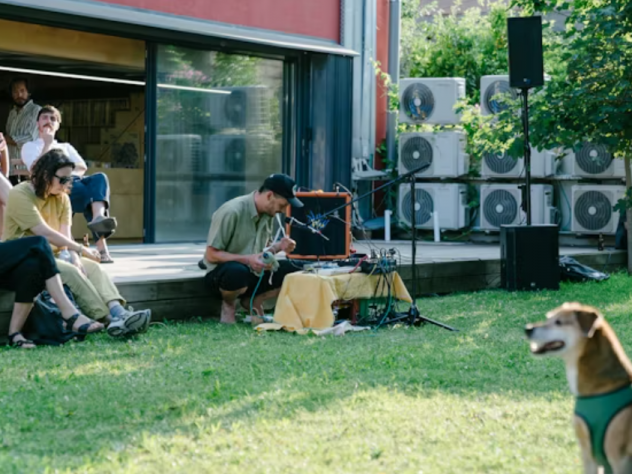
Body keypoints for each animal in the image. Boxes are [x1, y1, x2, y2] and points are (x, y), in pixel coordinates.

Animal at [524, 304, 632, 474]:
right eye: (548, 318)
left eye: (559, 322)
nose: (528, 329)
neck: (598, 390)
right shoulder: (587, 453)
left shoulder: (620, 458)